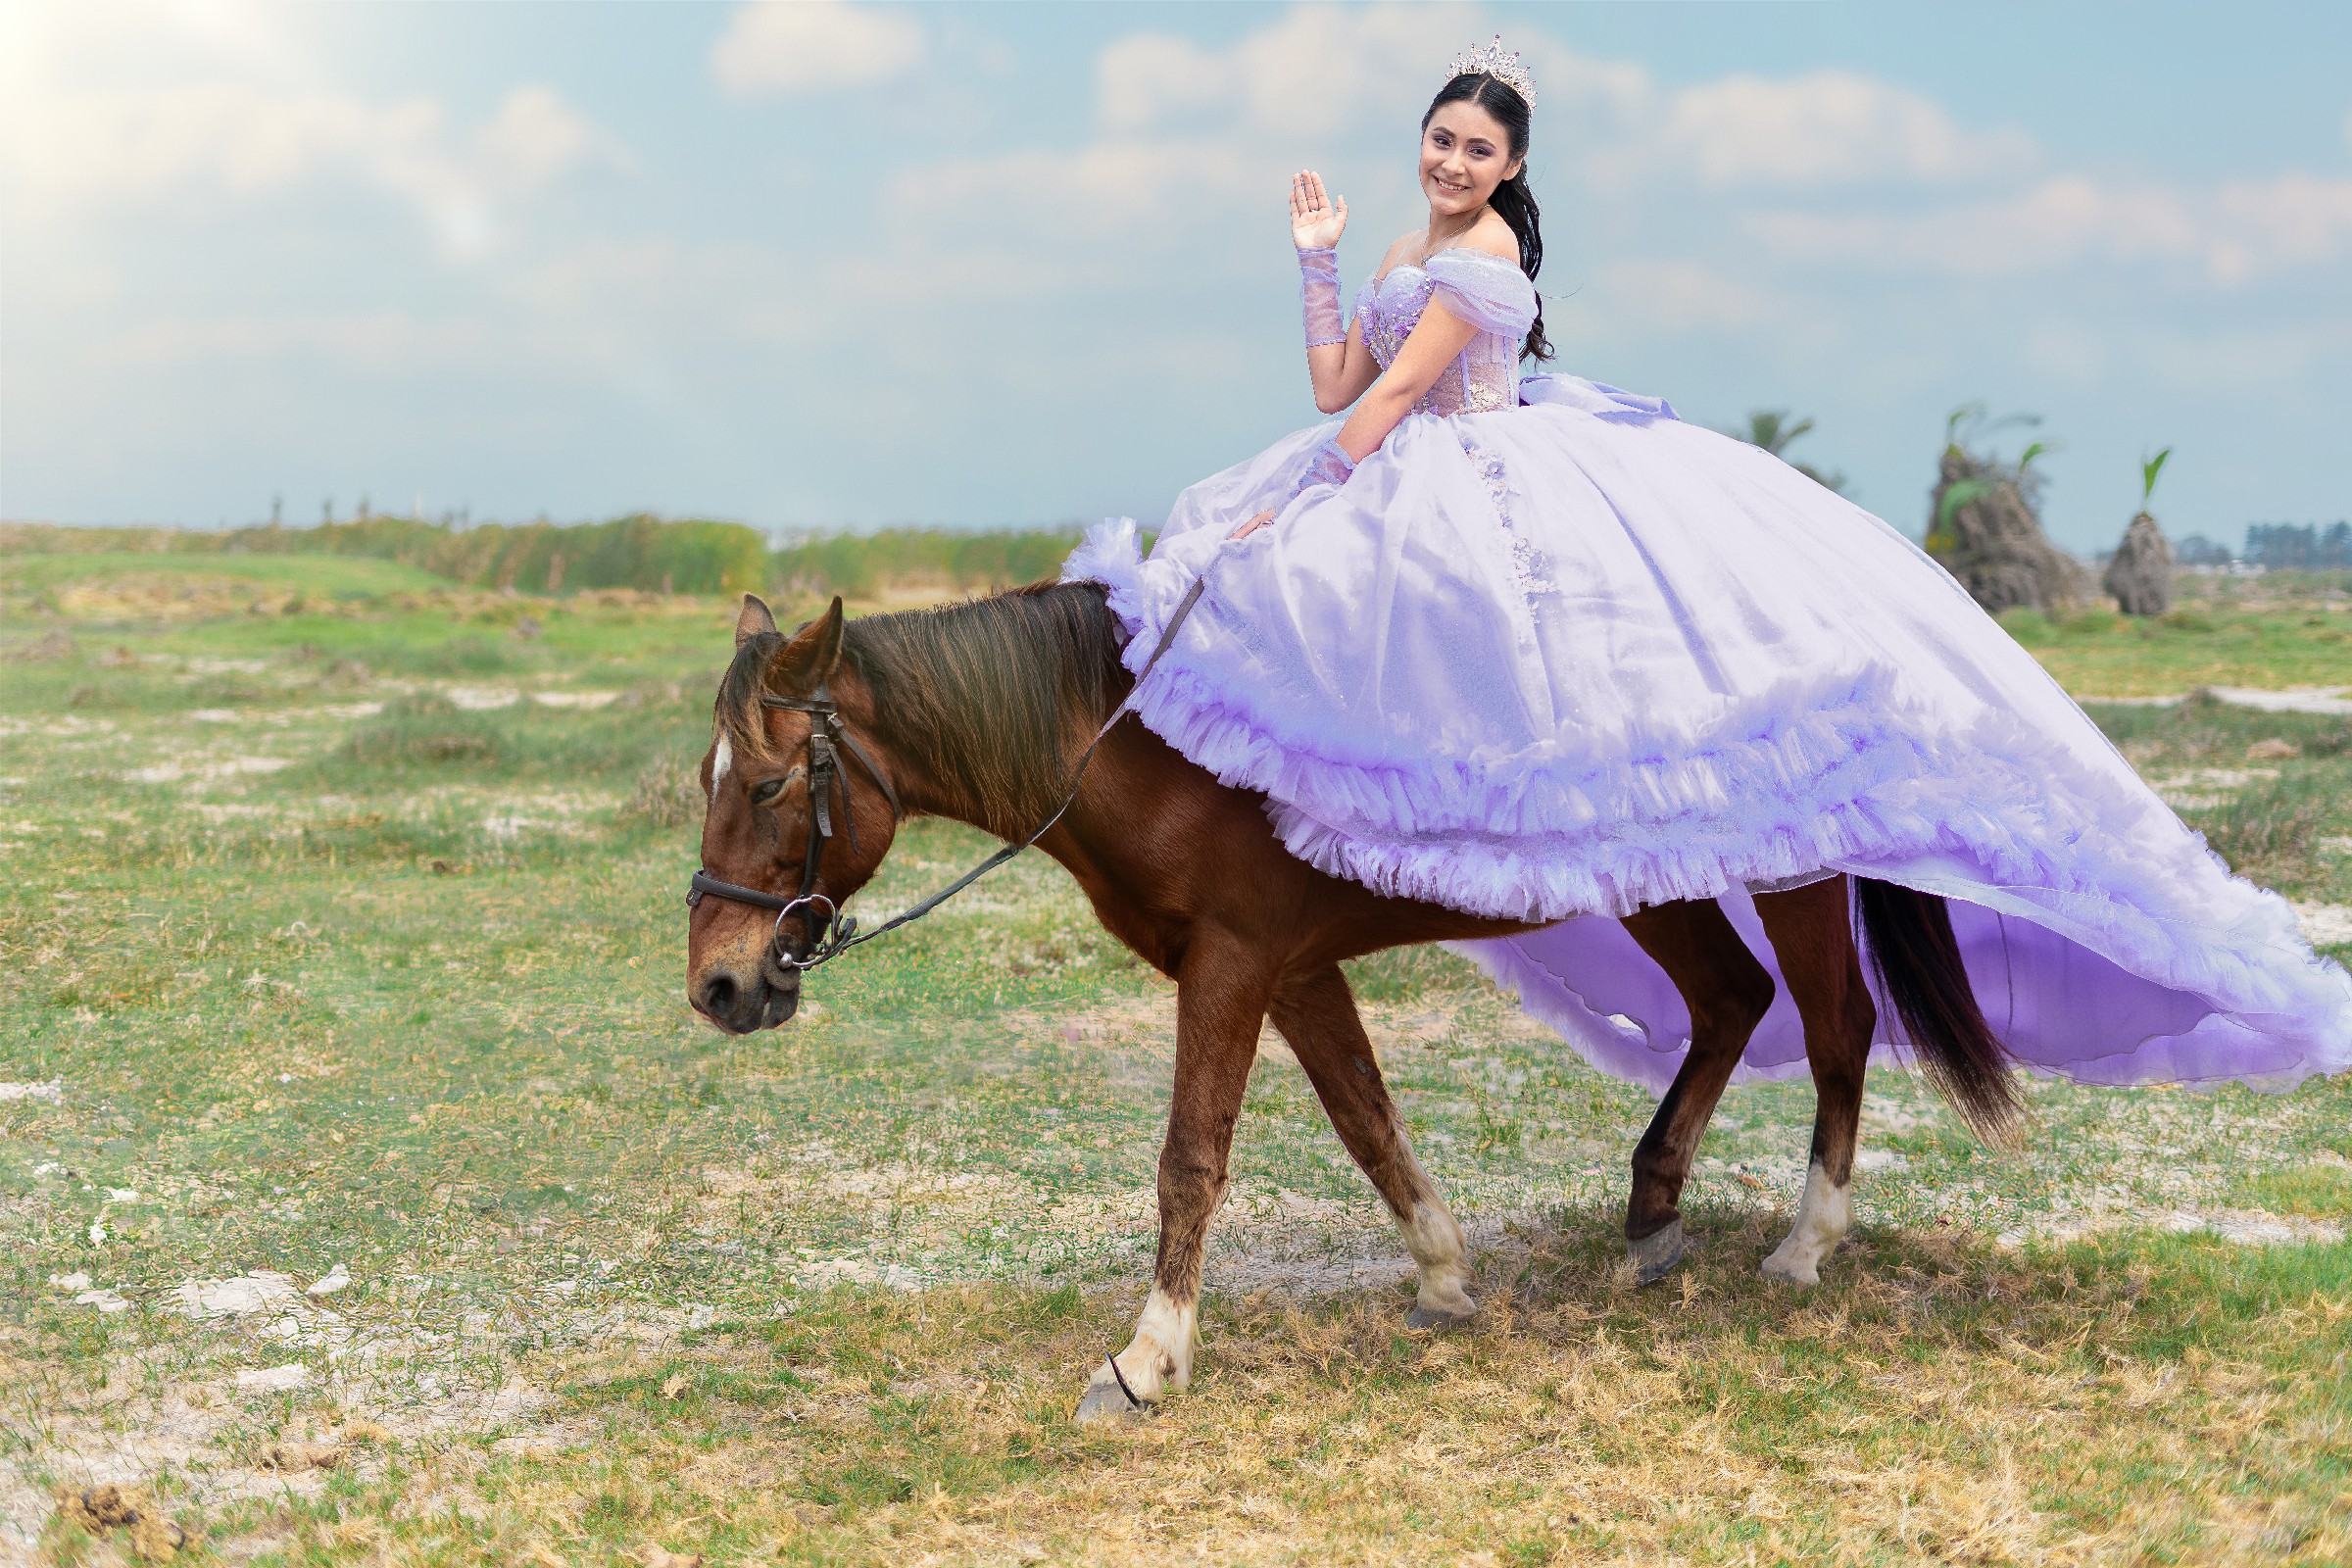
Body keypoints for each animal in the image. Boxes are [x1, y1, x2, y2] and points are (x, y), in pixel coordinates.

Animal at [685, 585, 2019, 1422]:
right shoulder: (1290, 967)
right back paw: (1651, 1217)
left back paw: (1806, 1242)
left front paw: (1147, 1358)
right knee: (1734, 1000)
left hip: (1794, 876)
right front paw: (1441, 1276)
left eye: (768, 785)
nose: (718, 985)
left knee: (1837, 1028)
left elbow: (1192, 1157)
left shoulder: (1233, 963)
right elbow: (1366, 1119)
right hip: (1661, 879)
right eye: (712, 779)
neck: (1139, 741)